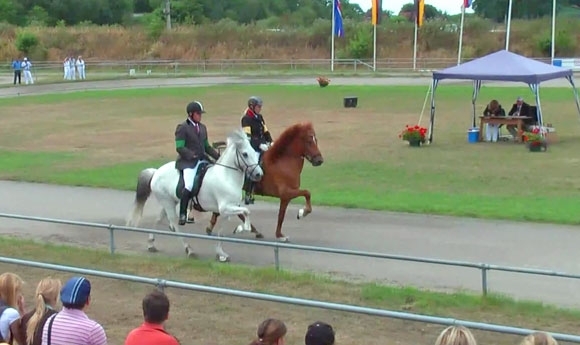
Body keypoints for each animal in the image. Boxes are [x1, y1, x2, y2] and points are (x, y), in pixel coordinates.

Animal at [128, 127, 264, 260]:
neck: (226, 177)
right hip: (168, 203)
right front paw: (242, 228)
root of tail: (156, 172)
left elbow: (222, 231)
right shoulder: (225, 208)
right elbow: (247, 212)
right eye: (245, 154)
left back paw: (151, 244)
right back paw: (189, 250)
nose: (259, 174)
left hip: (170, 201)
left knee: (158, 219)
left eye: (254, 153)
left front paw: (221, 253)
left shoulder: (228, 210)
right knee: (174, 224)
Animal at [194, 121, 322, 242]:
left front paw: (280, 234)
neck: (282, 162)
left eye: (316, 139)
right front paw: (302, 213)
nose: (319, 160)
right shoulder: (287, 192)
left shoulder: (286, 197)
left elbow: (282, 215)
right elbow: (306, 193)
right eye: (309, 141)